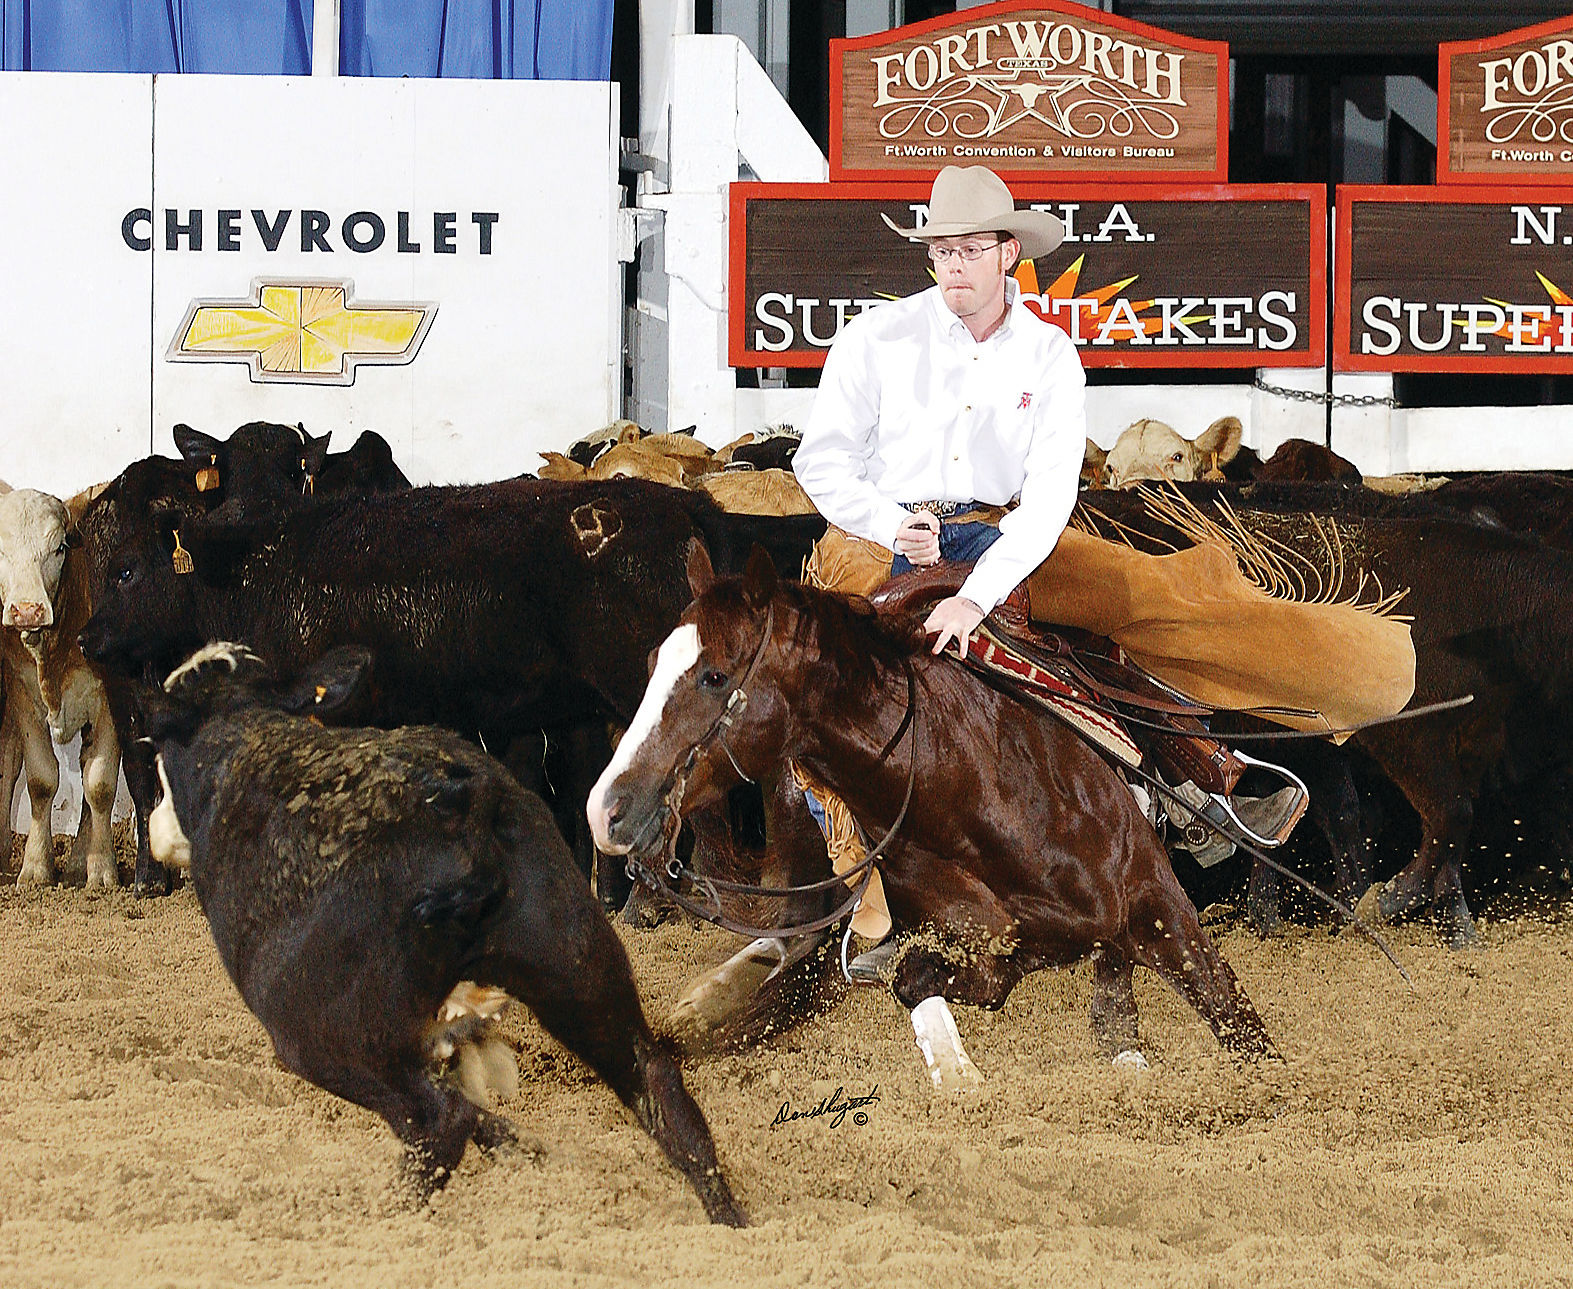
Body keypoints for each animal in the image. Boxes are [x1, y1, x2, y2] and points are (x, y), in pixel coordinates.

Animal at [587, 545, 1277, 1085]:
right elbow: (917, 975)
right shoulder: (987, 940)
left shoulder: (1157, 903)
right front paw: (957, 1070)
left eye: (713, 675)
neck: (974, 786)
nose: (606, 810)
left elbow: (1241, 1023)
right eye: (651, 665)